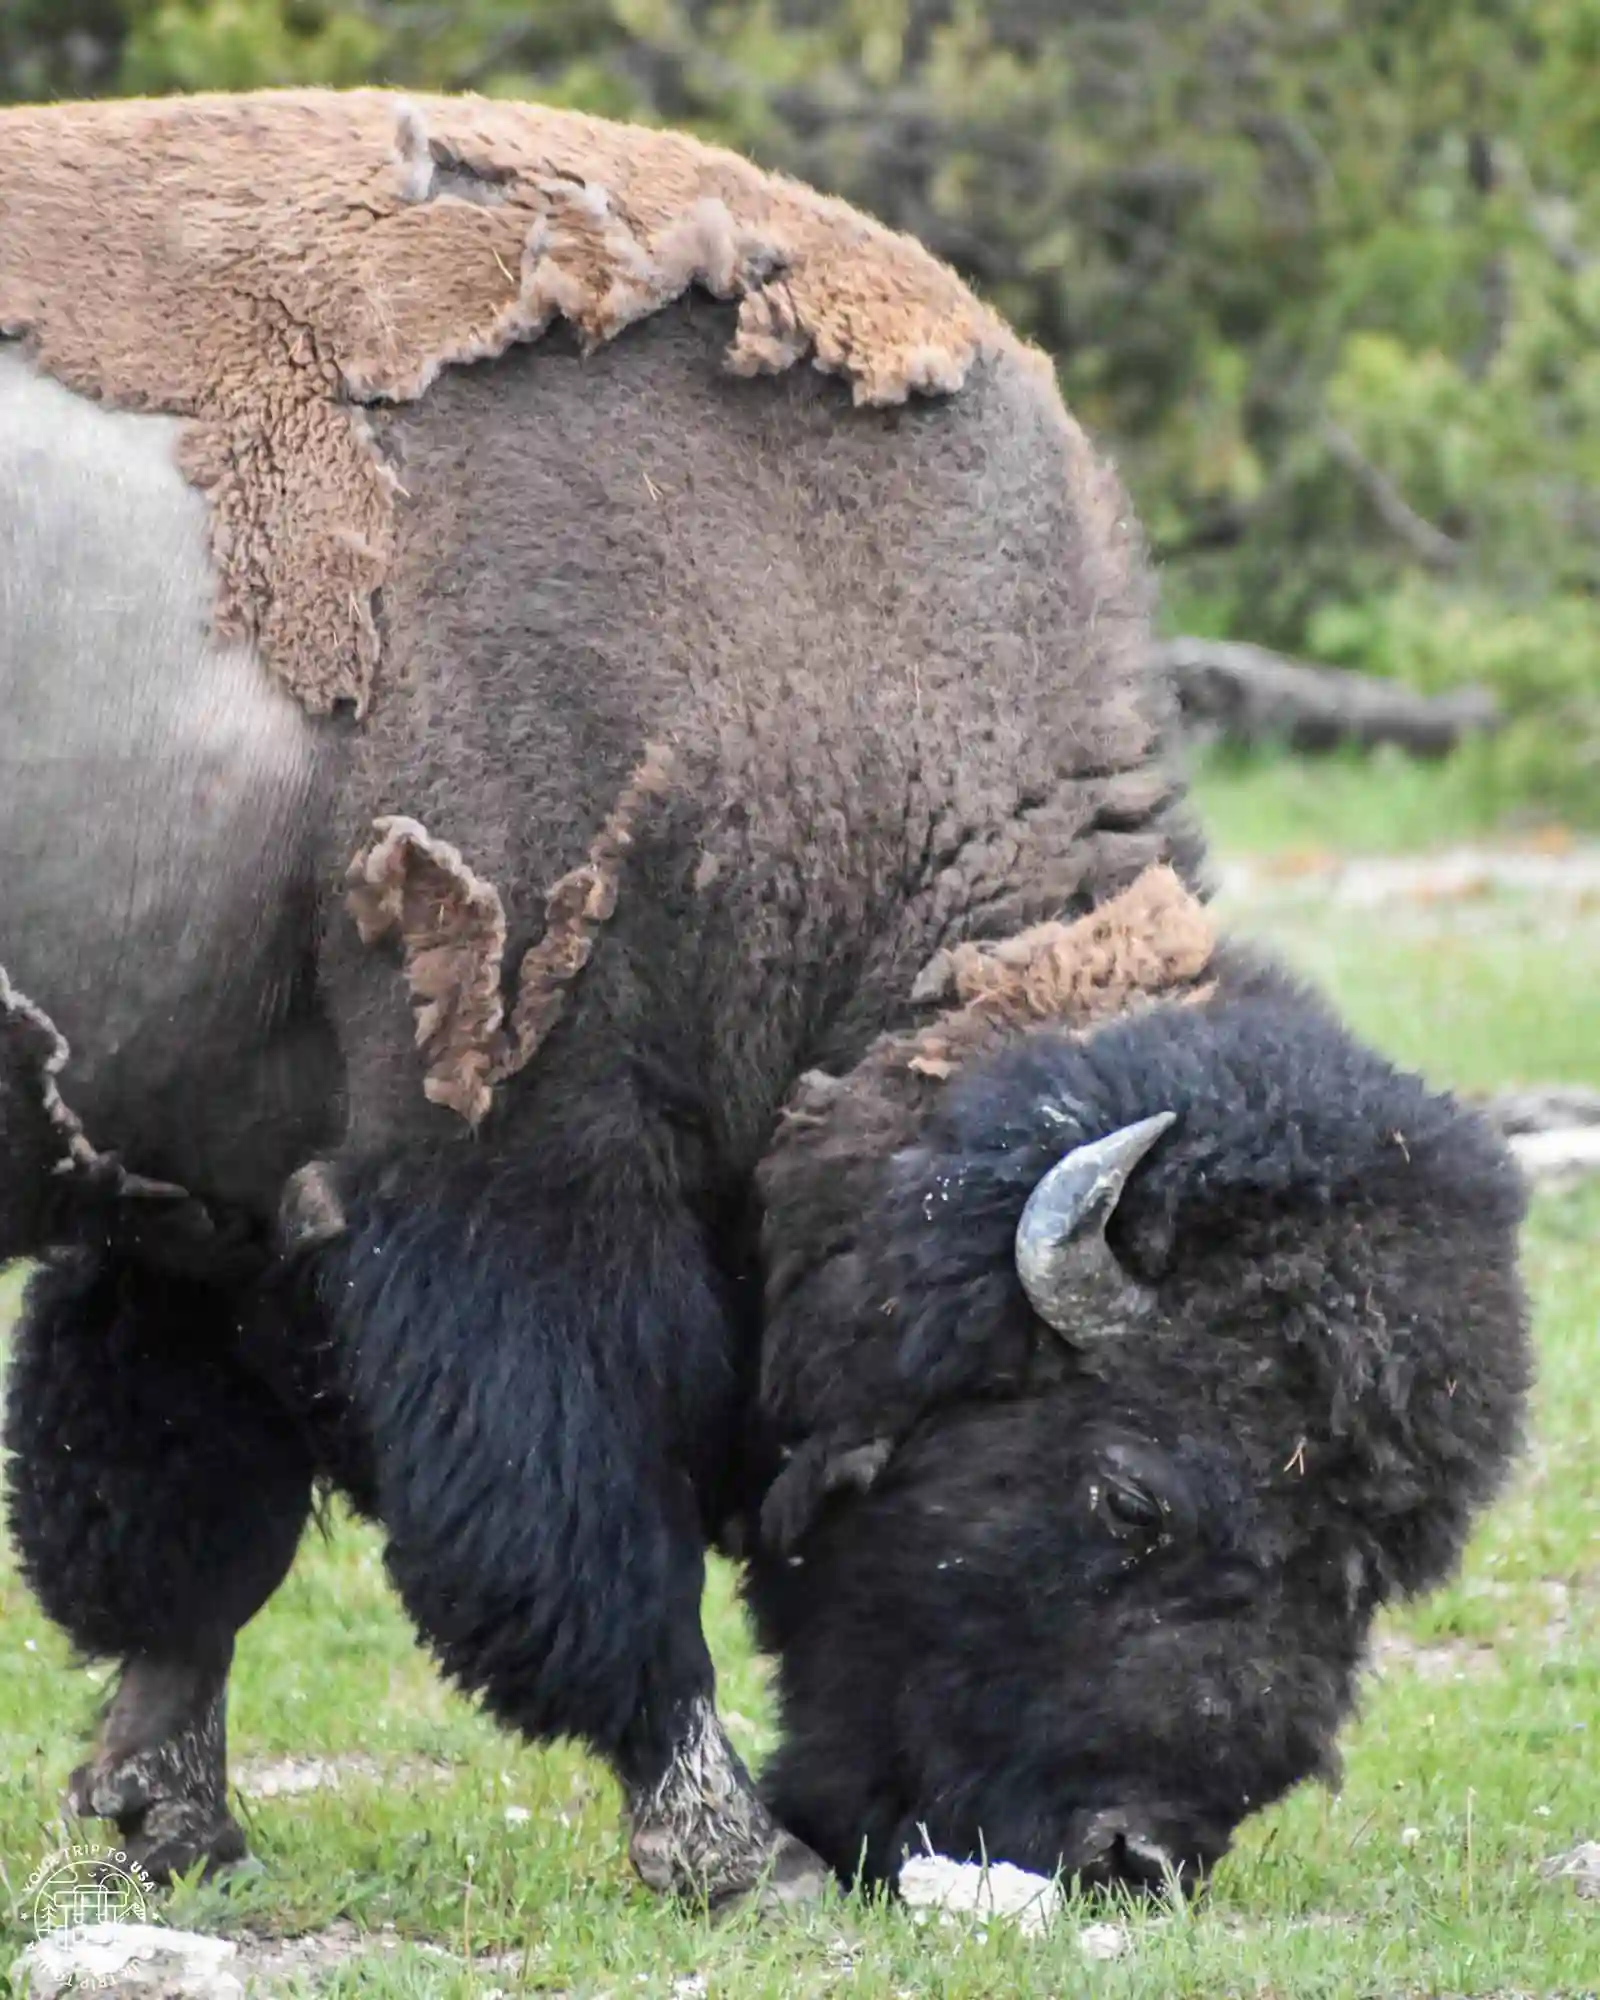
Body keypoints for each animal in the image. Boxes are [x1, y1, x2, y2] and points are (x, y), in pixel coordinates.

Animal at [0, 89, 1529, 1908]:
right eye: (1132, 1501)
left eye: (1373, 1565)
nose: (1136, 1849)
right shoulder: (508, 1188)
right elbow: (585, 1536)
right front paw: (737, 1851)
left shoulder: (207, 1198)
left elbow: (178, 1522)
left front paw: (166, 1823)